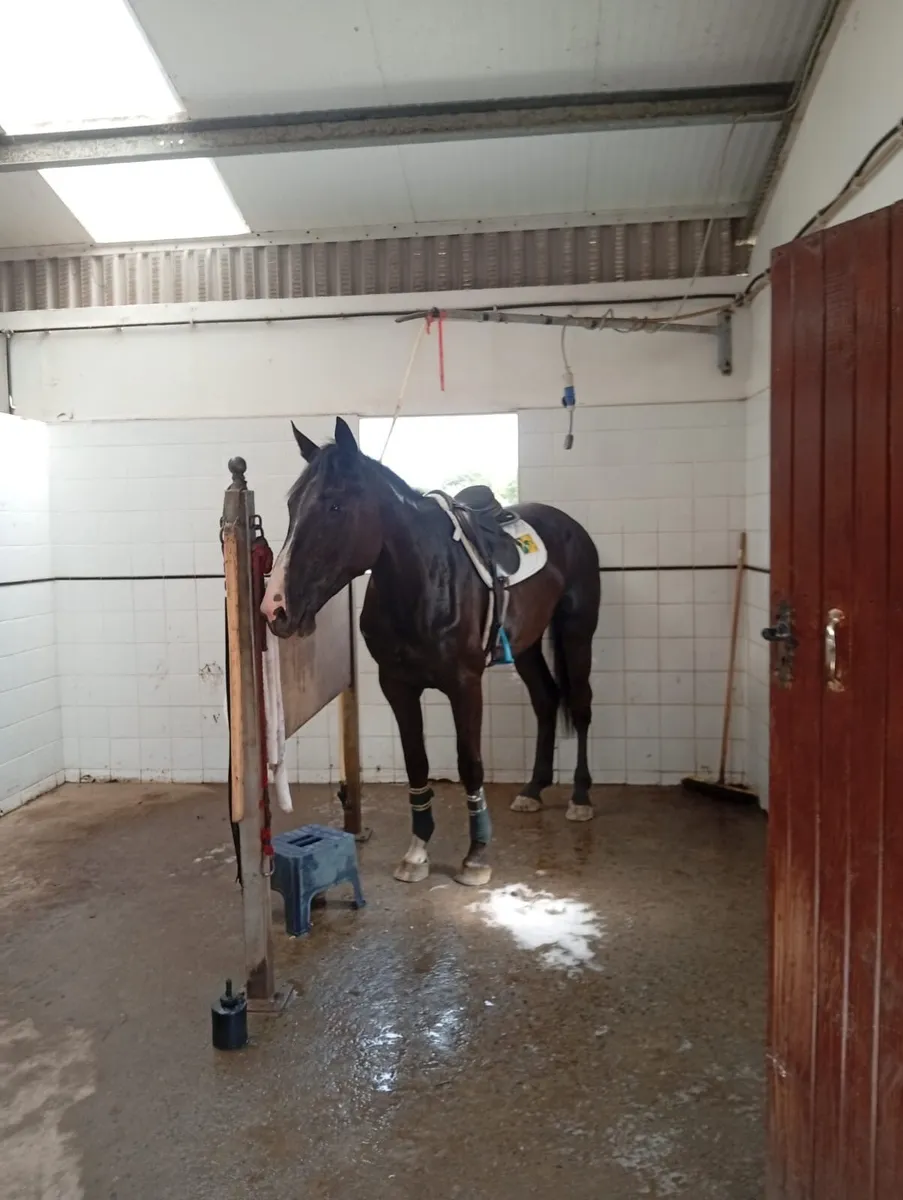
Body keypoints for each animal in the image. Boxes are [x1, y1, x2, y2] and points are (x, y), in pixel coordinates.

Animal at [261, 417, 601, 888]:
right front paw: (418, 851)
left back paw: (581, 797)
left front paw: (476, 856)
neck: (422, 580)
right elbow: (417, 763)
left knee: (581, 705)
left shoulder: (465, 685)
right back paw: (533, 789)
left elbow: (470, 764)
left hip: (577, 631)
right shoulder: (398, 686)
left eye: (335, 507)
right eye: (293, 504)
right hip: (528, 646)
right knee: (547, 701)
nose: (275, 608)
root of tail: (568, 524)